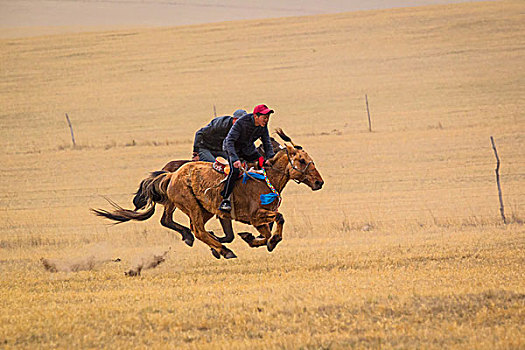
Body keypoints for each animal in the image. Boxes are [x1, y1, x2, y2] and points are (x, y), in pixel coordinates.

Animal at [92, 130, 324, 258]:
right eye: (302, 160)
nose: (319, 182)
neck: (264, 178)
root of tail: (172, 174)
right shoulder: (255, 216)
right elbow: (279, 219)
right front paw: (268, 240)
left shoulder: (255, 220)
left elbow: (263, 234)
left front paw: (253, 239)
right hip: (191, 206)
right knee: (196, 230)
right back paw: (222, 250)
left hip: (203, 209)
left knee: (192, 227)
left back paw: (214, 245)